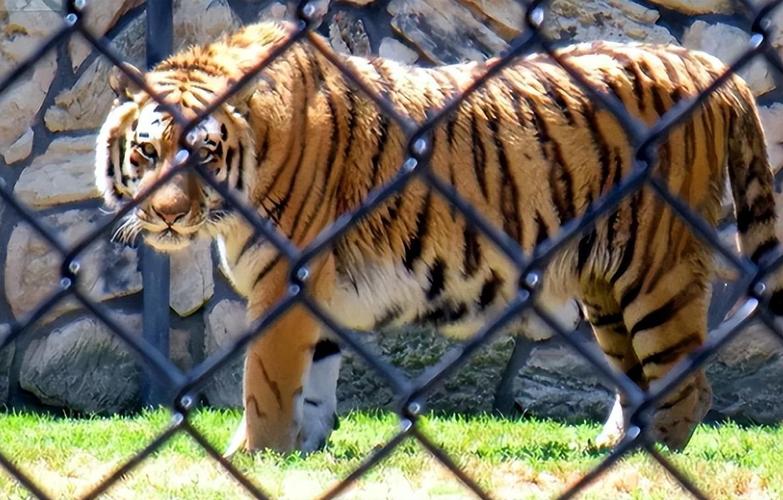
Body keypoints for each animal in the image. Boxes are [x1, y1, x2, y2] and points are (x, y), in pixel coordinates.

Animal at [96, 20, 783, 458]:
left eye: (205, 155)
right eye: (148, 151)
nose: (166, 216)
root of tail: (704, 62)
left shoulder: (283, 281)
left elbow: (265, 381)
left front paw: (253, 456)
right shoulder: (314, 290)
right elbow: (312, 381)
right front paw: (303, 452)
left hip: (655, 269)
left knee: (687, 383)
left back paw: (648, 464)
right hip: (606, 287)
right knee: (639, 378)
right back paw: (613, 447)